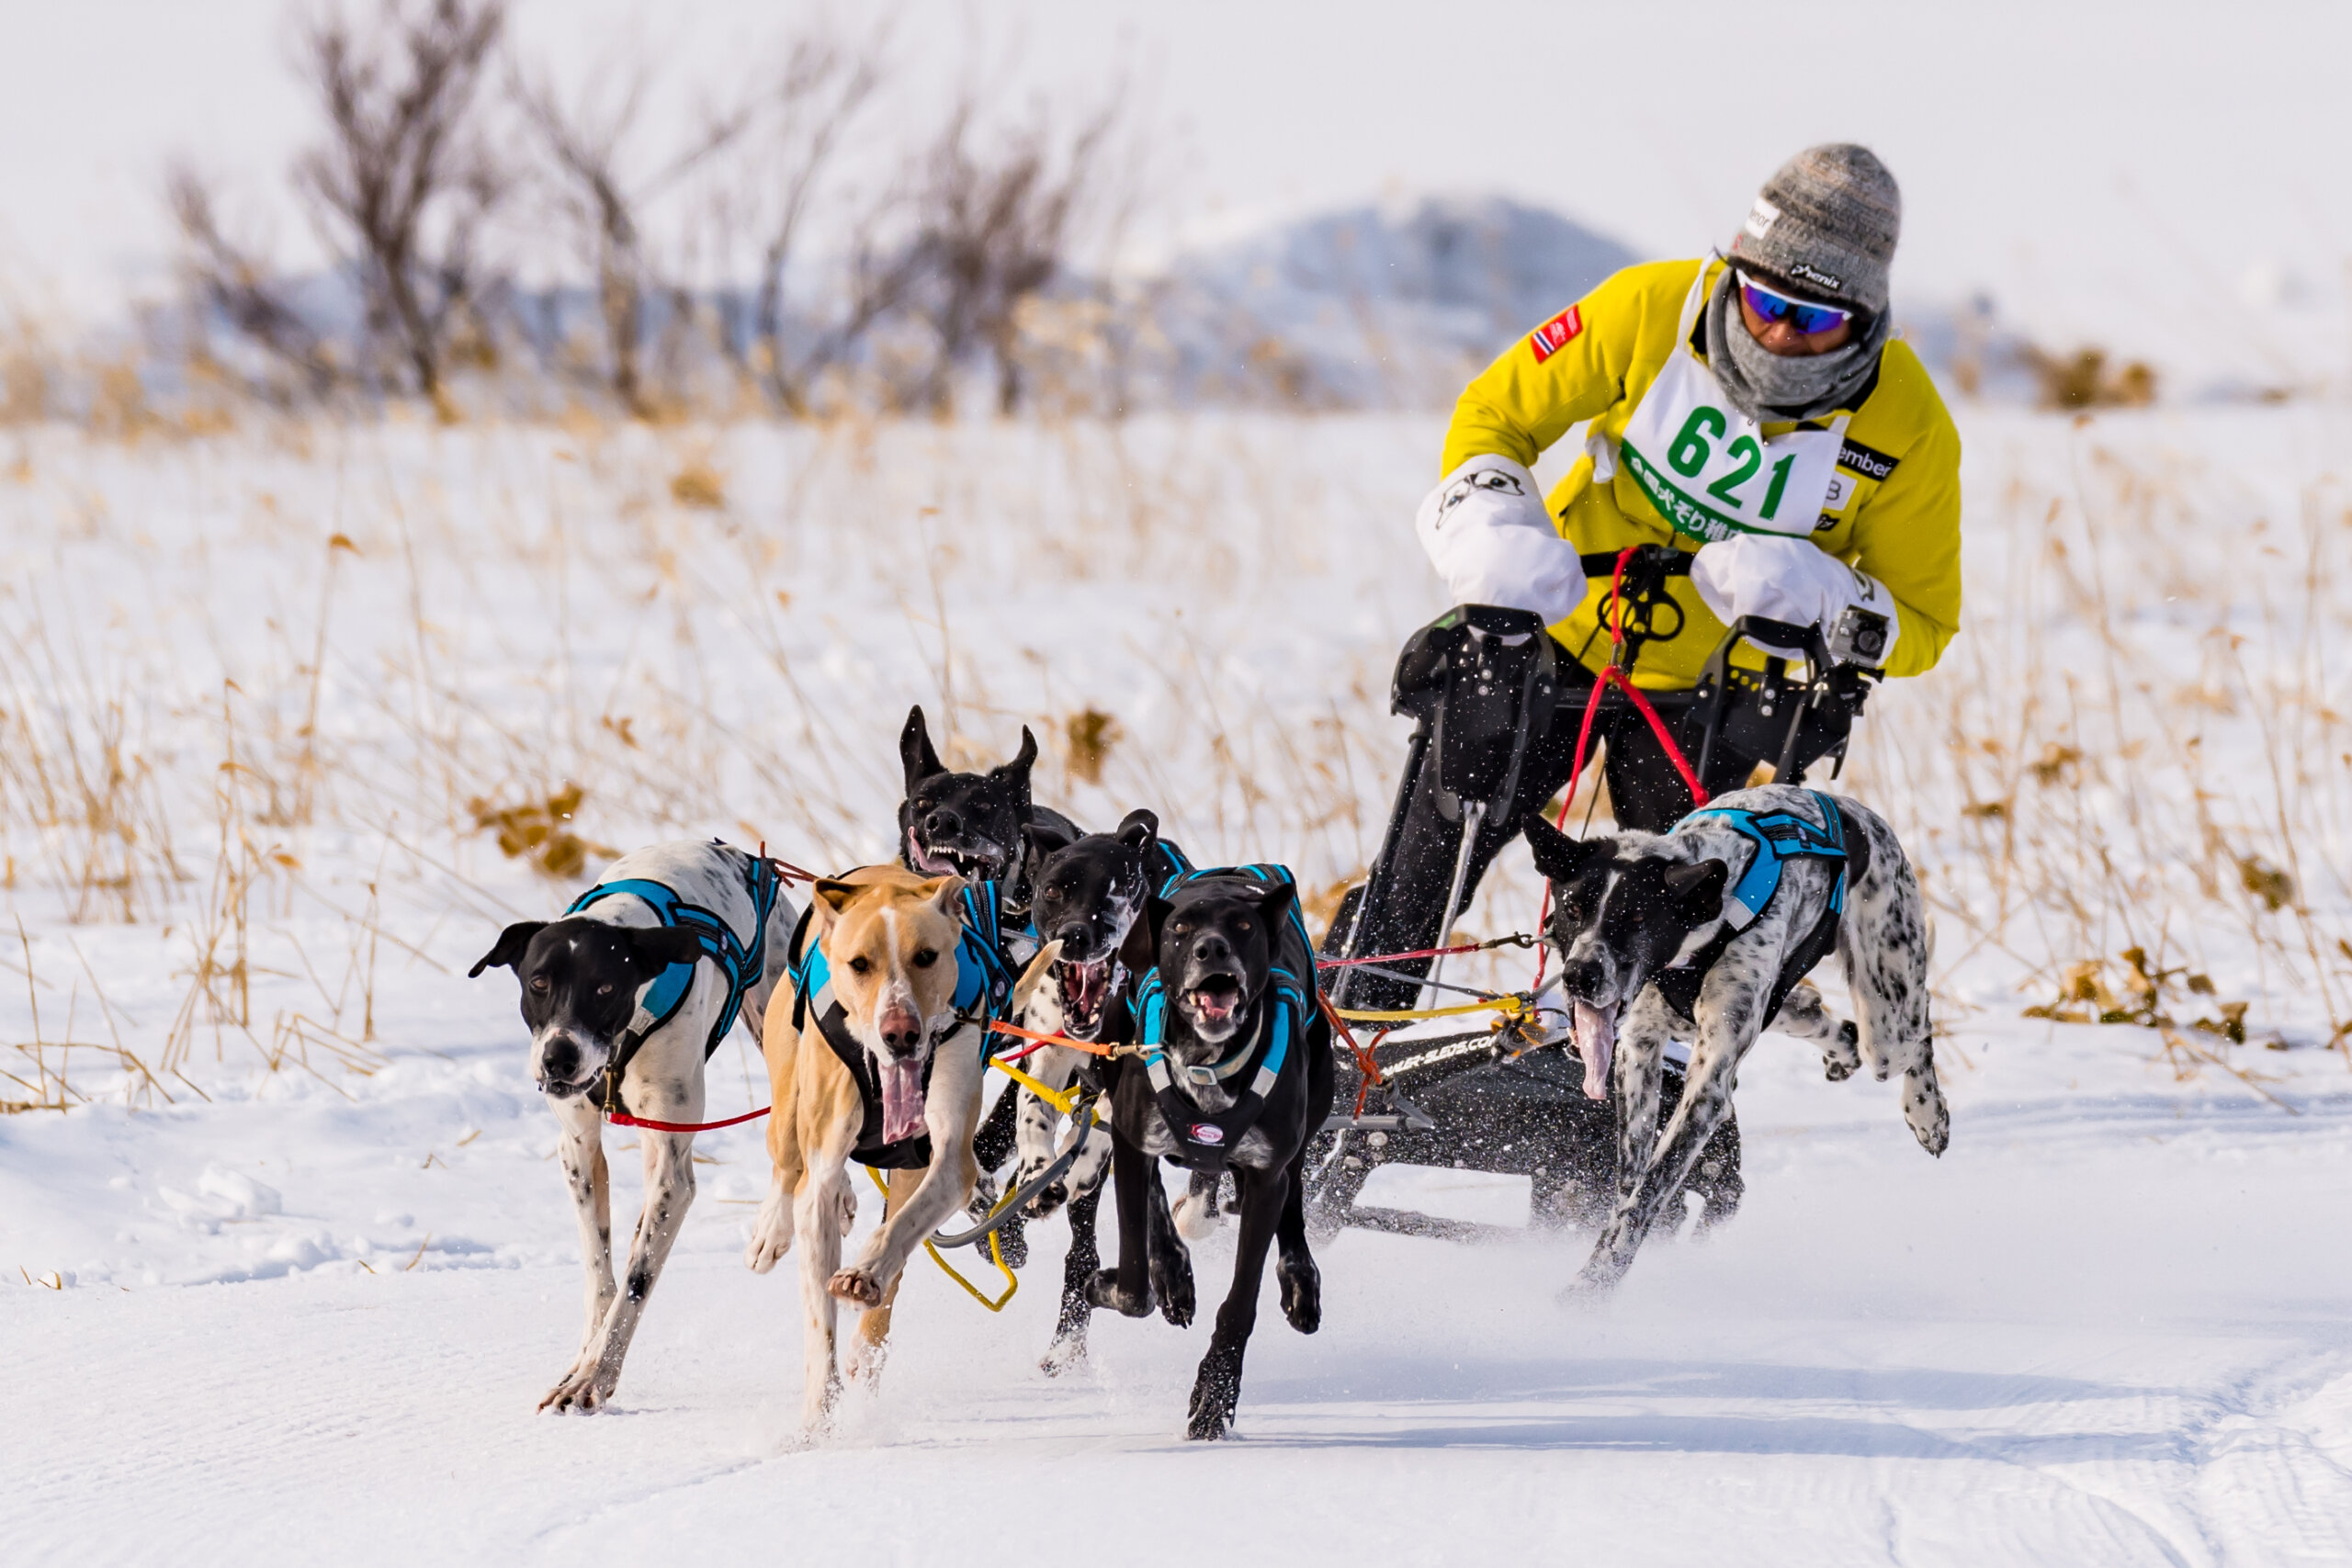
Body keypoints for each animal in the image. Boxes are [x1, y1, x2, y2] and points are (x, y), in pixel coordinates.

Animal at [468, 841, 799, 1419]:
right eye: (538, 983)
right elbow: (601, 1274)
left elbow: (636, 1285)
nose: (559, 1058)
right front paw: (586, 1358)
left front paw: (592, 1378)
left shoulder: (674, 1176)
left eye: (605, 987)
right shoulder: (578, 1150)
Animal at [742, 869, 1058, 1438]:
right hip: (788, 1095)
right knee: (786, 1163)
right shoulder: (820, 1172)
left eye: (926, 956)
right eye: (859, 964)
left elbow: (899, 1231)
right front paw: (818, 1413)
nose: (900, 1033)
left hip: (911, 1165)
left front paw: (863, 1273)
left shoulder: (947, 1160)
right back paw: (772, 1231)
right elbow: (818, 1312)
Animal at [1091, 864, 1336, 1438]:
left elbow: (1240, 1304)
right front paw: (1118, 1281)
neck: (1207, 1066)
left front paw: (1215, 1398)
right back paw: (1173, 1271)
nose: (1212, 949)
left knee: (1293, 1198)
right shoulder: (1131, 1142)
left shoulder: (1267, 1173)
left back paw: (1299, 1279)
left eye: (1243, 927)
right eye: (1180, 930)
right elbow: (1133, 1284)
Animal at [1523, 784, 1947, 1297]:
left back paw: (1927, 1112)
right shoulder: (1638, 1051)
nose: (1580, 976)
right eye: (1573, 909)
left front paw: (1597, 1279)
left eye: (1638, 917)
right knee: (1814, 1014)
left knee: (1917, 1030)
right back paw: (1837, 1044)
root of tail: (1860, 814)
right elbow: (1631, 1182)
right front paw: (1607, 1246)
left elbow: (1652, 1189)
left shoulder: (1708, 1085)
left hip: (1888, 1021)